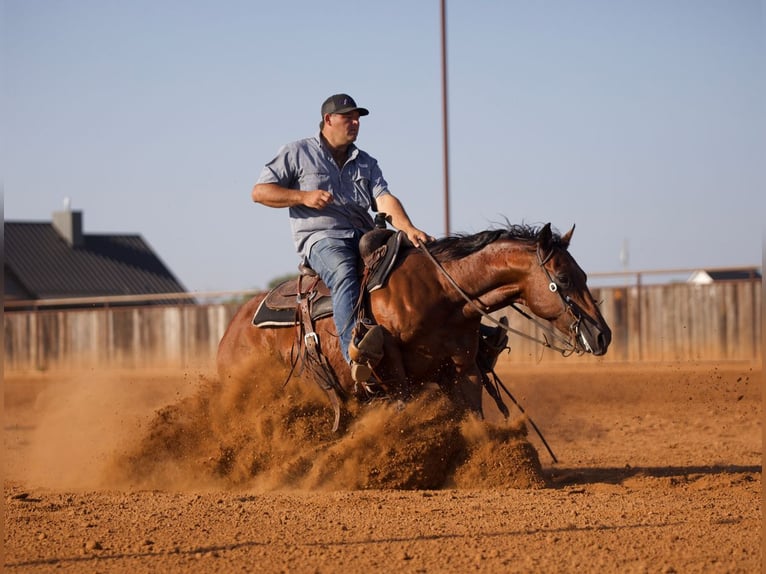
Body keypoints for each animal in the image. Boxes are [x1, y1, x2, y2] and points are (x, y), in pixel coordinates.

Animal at [217, 222, 611, 427]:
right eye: (563, 277)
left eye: (583, 274)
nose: (602, 334)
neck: (441, 293)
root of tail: (231, 332)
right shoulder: (392, 372)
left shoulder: (463, 370)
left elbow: (475, 417)